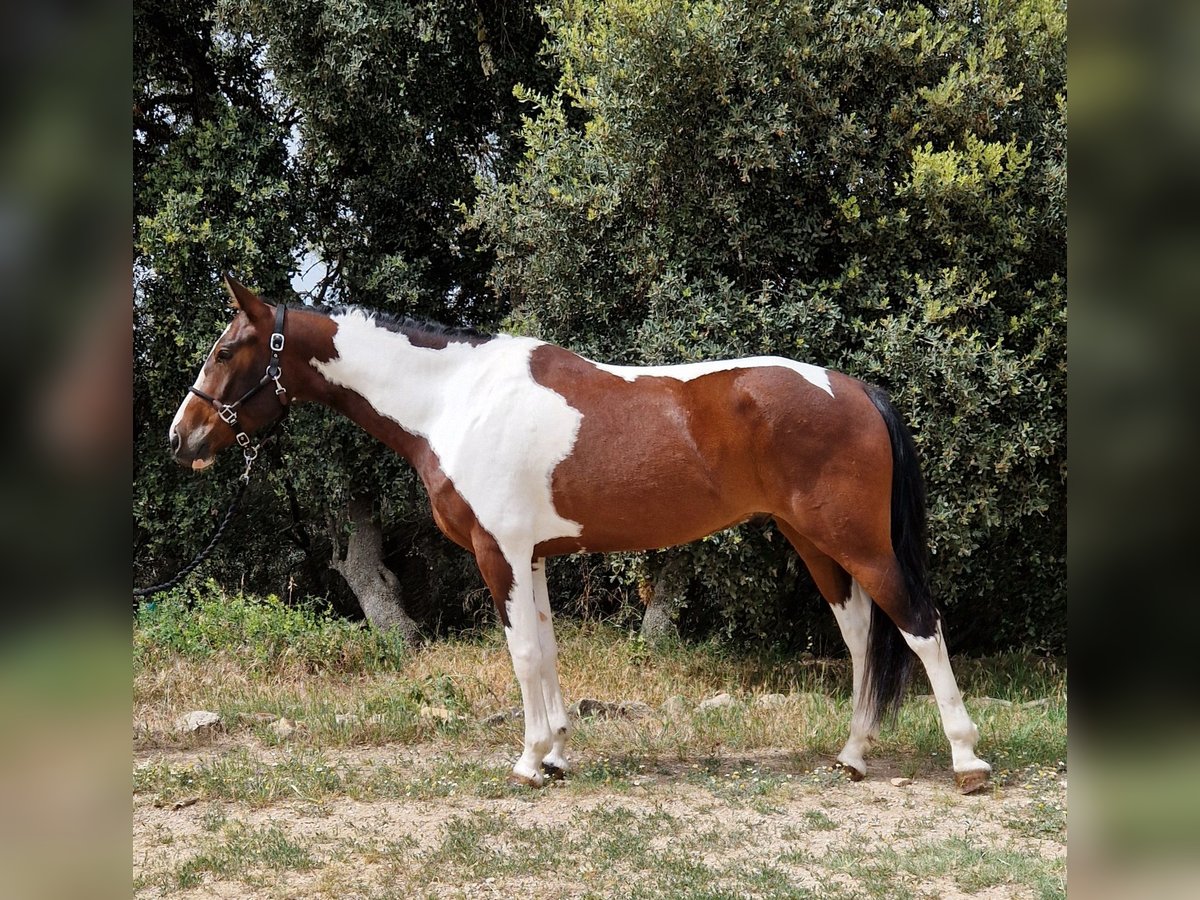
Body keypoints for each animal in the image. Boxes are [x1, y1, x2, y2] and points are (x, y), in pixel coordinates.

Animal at [169, 277, 993, 796]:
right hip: (816, 544)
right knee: (860, 635)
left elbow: (524, 655)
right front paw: (559, 752)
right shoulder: (530, 556)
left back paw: (967, 761)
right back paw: (852, 756)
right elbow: (546, 649)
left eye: (224, 350)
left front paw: (530, 762)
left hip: (857, 543)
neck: (454, 400)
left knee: (919, 625)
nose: (182, 439)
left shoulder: (499, 554)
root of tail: (855, 389)